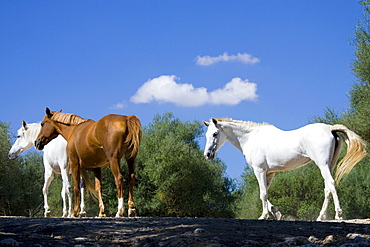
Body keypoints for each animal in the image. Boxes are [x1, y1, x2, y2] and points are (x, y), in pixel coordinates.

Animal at [204, 117, 366, 220]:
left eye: (215, 134)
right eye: (206, 135)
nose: (207, 155)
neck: (251, 138)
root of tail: (330, 128)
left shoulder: (259, 170)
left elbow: (262, 194)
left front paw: (264, 215)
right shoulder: (270, 173)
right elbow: (264, 193)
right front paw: (276, 213)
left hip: (323, 165)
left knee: (331, 184)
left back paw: (338, 214)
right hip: (329, 165)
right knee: (327, 188)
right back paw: (321, 216)